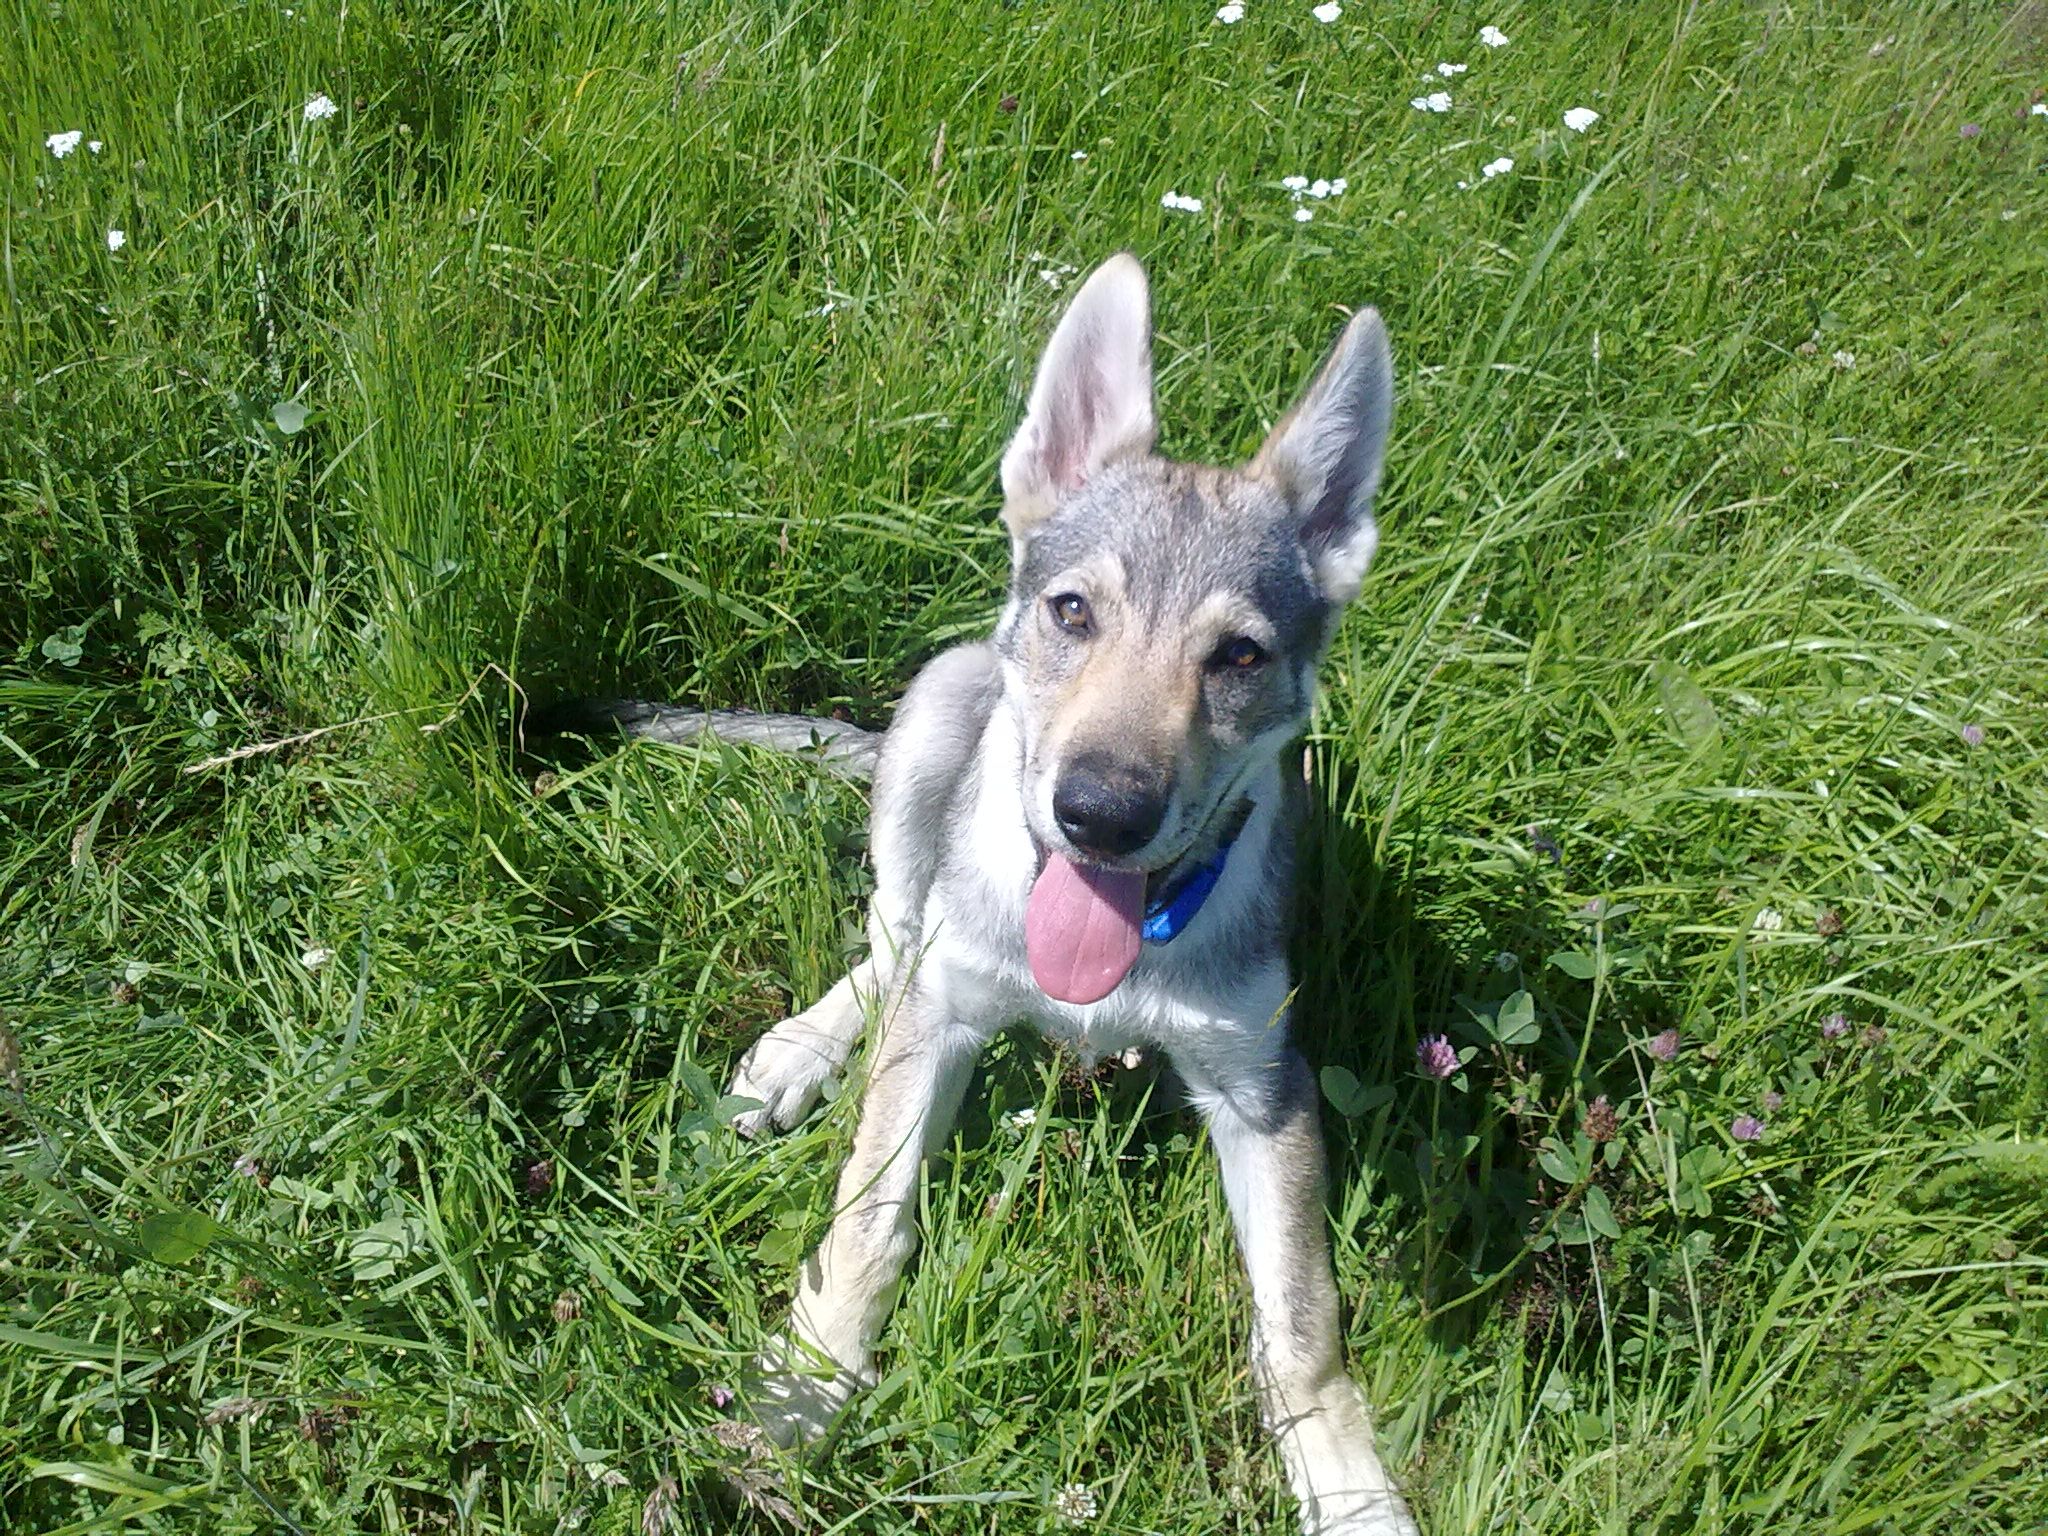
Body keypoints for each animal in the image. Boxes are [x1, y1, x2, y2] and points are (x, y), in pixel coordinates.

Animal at [559, 254, 1416, 1535]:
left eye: (1238, 657)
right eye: (1072, 611)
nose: (1099, 812)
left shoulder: (1264, 1085)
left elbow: (1302, 1330)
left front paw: (1353, 1492)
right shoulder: (947, 1019)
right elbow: (867, 1219)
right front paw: (803, 1391)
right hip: (936, 711)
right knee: (892, 936)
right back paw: (801, 1052)